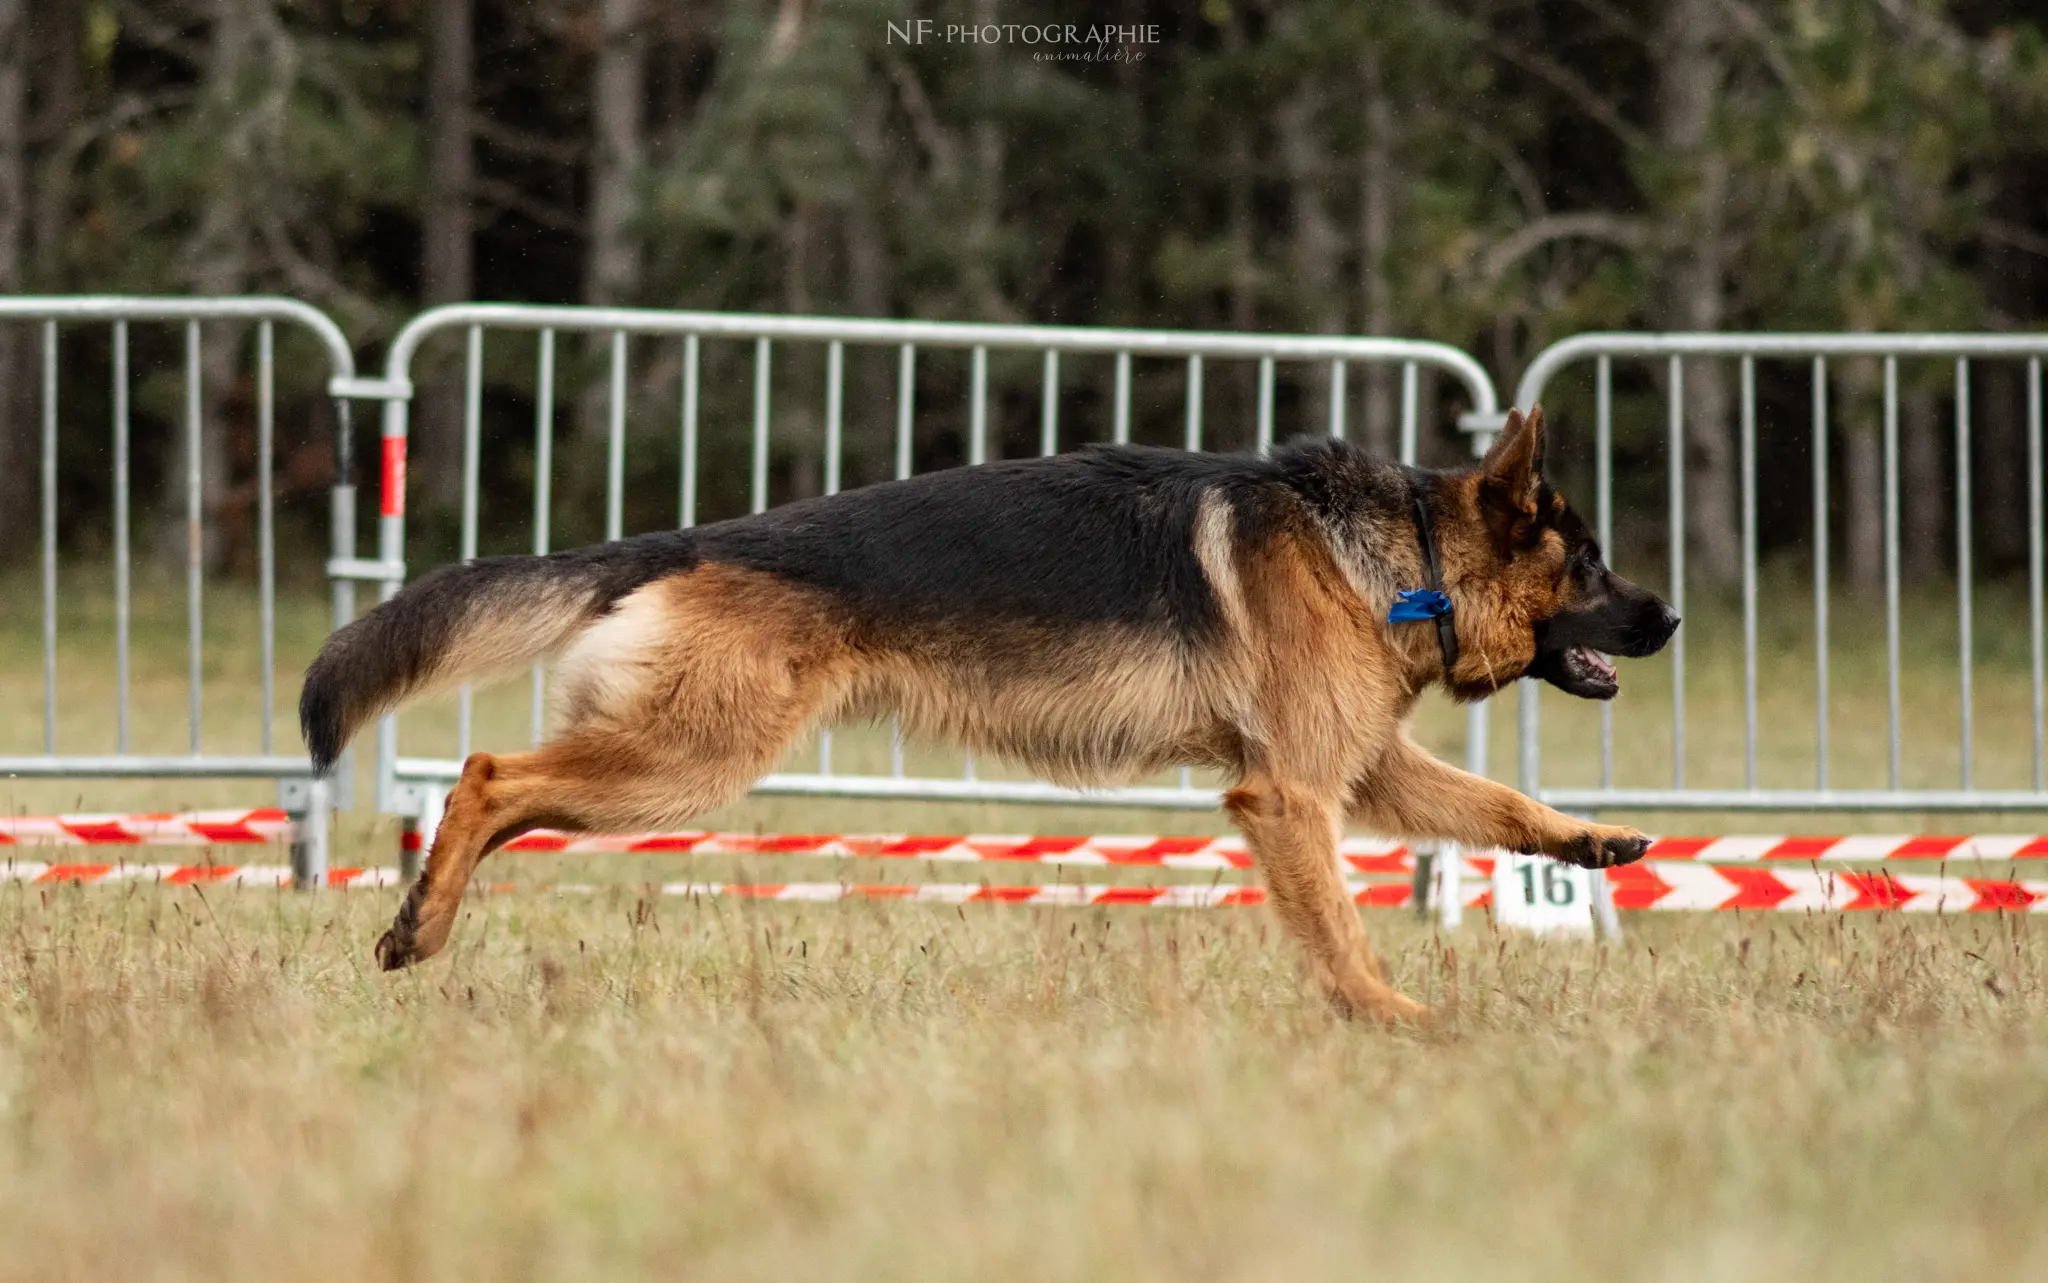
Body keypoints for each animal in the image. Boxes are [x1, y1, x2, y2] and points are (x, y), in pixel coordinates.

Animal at [303, 407, 1679, 1020]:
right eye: (1592, 562)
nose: (1670, 619)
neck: (1406, 555)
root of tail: (681, 539)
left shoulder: (1362, 764)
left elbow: (1496, 800)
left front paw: (1587, 843)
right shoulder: (1290, 793)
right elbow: (1339, 929)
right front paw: (1393, 1019)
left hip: (666, 755)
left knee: (498, 784)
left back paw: (414, 921)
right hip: (679, 762)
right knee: (485, 774)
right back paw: (416, 925)